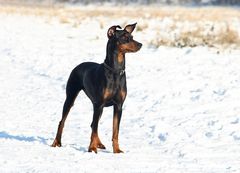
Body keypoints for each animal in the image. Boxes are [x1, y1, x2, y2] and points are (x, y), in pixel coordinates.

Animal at [51, 22, 142, 153]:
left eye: (132, 36)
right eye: (124, 37)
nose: (140, 44)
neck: (115, 71)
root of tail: (78, 65)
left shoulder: (118, 106)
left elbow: (115, 131)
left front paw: (116, 150)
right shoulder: (99, 104)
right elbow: (95, 129)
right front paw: (92, 148)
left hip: (99, 107)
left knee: (93, 124)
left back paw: (99, 143)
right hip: (71, 98)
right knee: (63, 122)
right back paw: (56, 142)